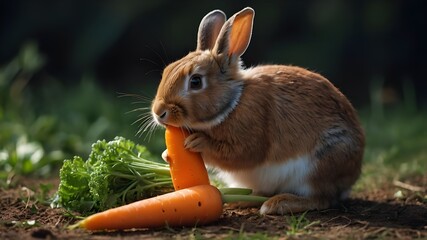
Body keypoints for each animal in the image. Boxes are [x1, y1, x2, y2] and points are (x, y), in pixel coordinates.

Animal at [150, 6, 364, 215]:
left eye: (195, 81)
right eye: (167, 71)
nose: (159, 112)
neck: (232, 104)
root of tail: (352, 176)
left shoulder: (251, 133)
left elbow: (239, 154)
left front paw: (198, 142)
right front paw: (166, 154)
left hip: (321, 163)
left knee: (321, 199)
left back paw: (277, 204)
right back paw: (242, 201)